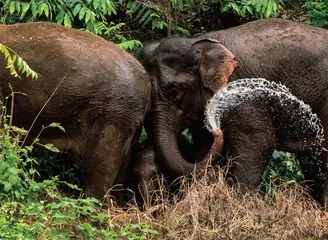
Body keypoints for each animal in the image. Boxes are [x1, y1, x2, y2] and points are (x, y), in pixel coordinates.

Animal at [137, 18, 328, 206]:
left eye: (175, 89)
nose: (217, 129)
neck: (198, 42)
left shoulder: (240, 95)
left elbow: (259, 143)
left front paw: (241, 206)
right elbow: (206, 147)